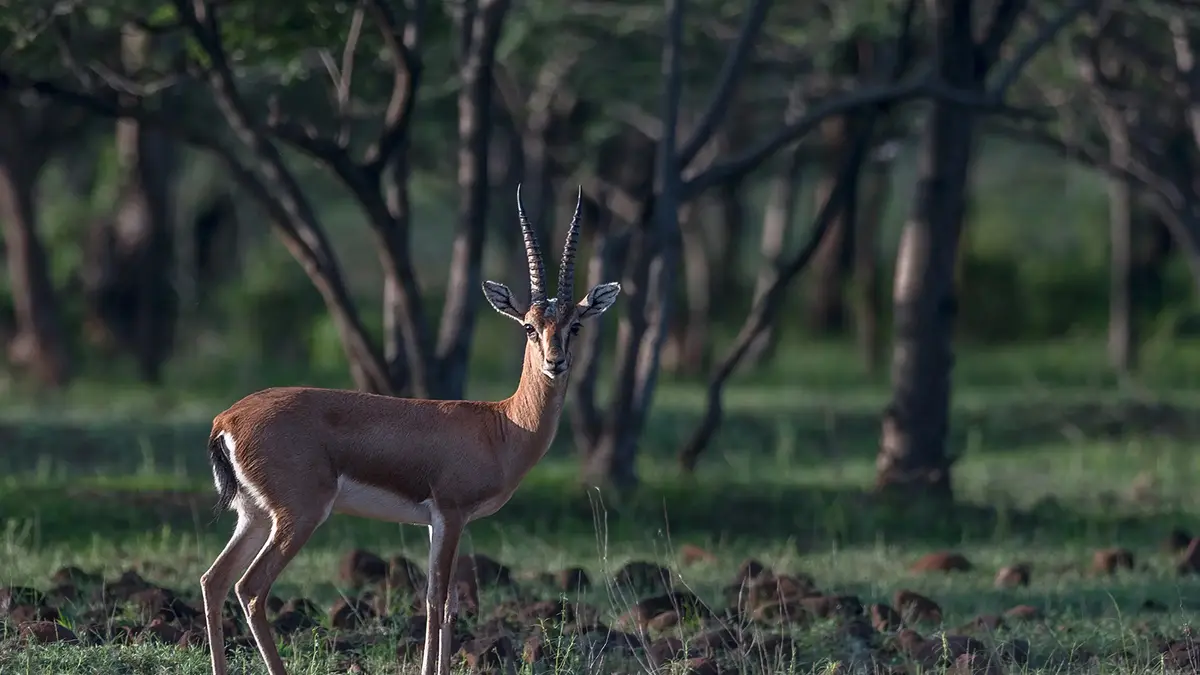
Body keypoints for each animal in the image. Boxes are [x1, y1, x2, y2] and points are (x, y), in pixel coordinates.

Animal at [199, 186, 620, 675]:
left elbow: (449, 601)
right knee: (250, 588)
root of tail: (227, 418)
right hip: (298, 515)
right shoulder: (450, 514)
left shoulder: (444, 522)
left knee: (214, 580)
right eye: (530, 327)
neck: (502, 425)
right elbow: (437, 599)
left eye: (575, 325)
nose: (556, 362)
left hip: (252, 515)